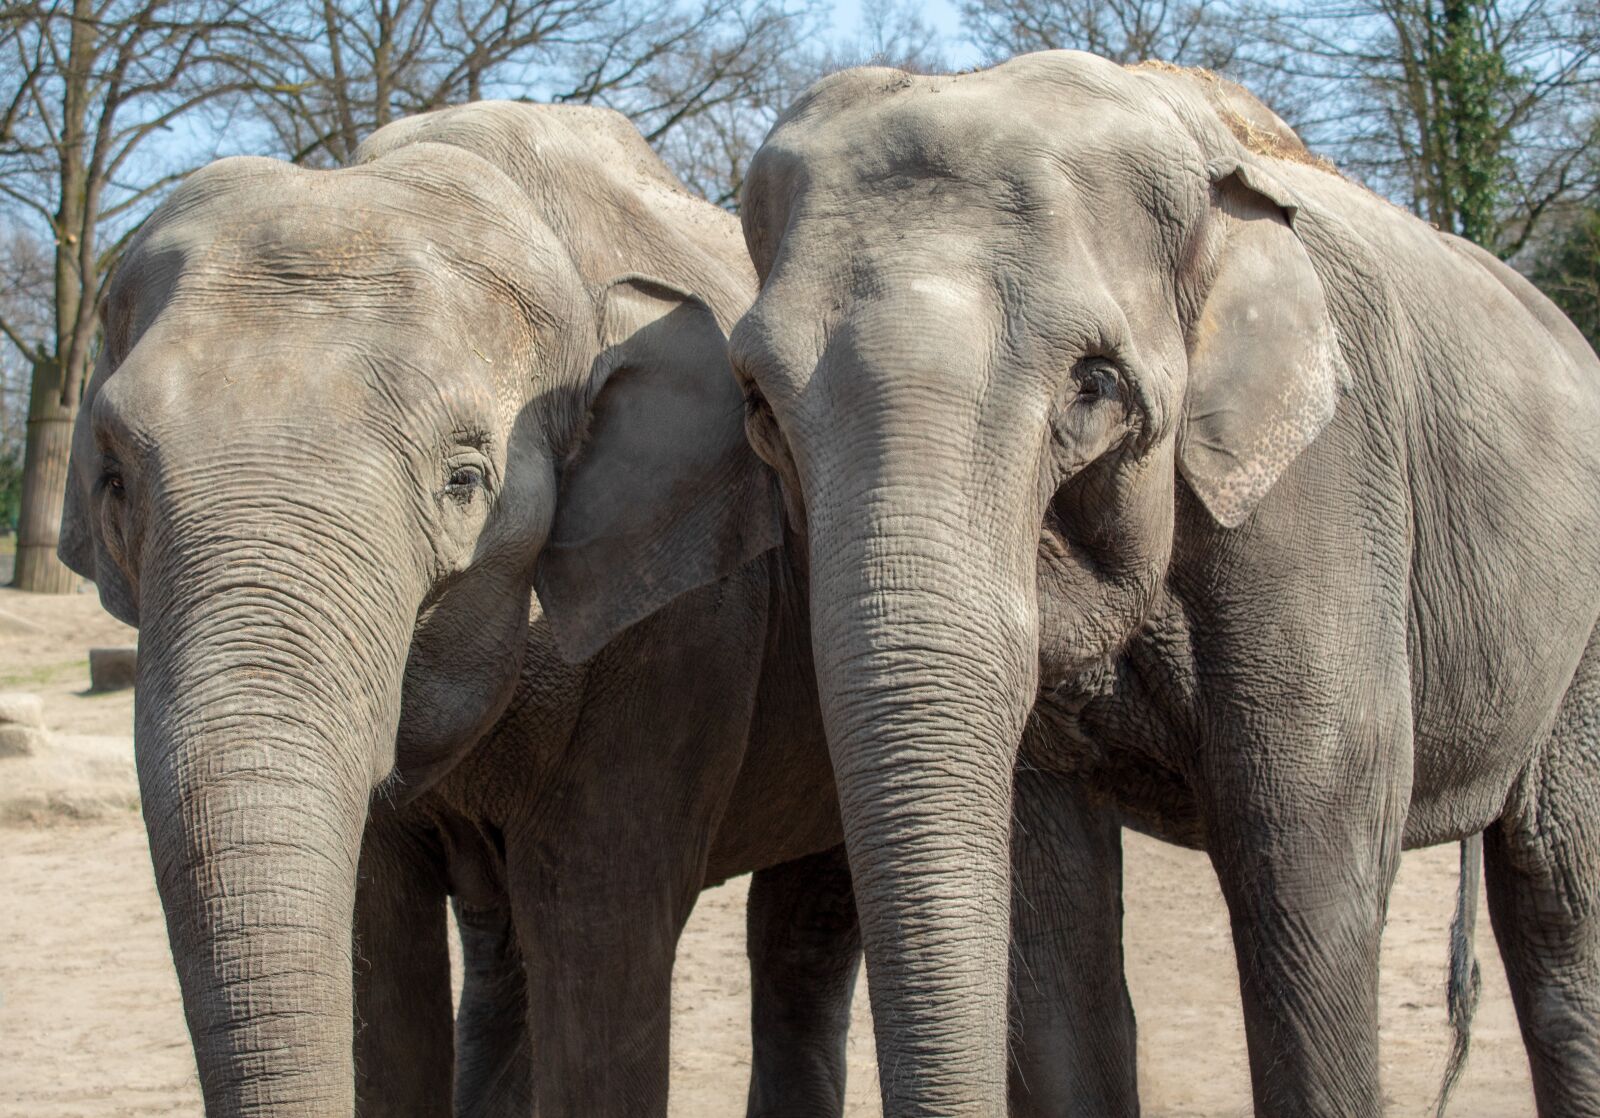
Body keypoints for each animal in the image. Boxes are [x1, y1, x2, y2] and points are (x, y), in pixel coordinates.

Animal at [730, 50, 1600, 1117]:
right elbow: (1051, 902)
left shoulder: (1329, 484)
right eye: (759, 406)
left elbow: (1309, 847)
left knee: (1559, 895)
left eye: (1094, 386)